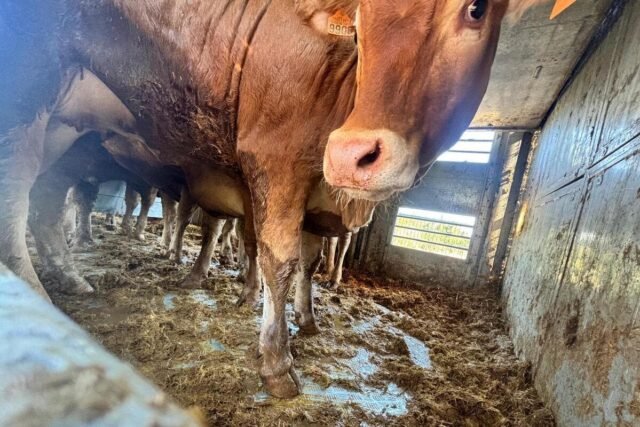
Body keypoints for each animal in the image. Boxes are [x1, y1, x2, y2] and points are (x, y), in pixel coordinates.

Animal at [0, 0, 548, 397]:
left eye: (475, 9)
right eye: (360, 26)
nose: (353, 155)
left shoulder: (314, 202)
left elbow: (307, 263)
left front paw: (307, 320)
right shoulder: (273, 165)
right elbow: (276, 260)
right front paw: (276, 362)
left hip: (70, 132)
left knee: (48, 202)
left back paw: (71, 280)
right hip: (30, 92)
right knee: (17, 199)